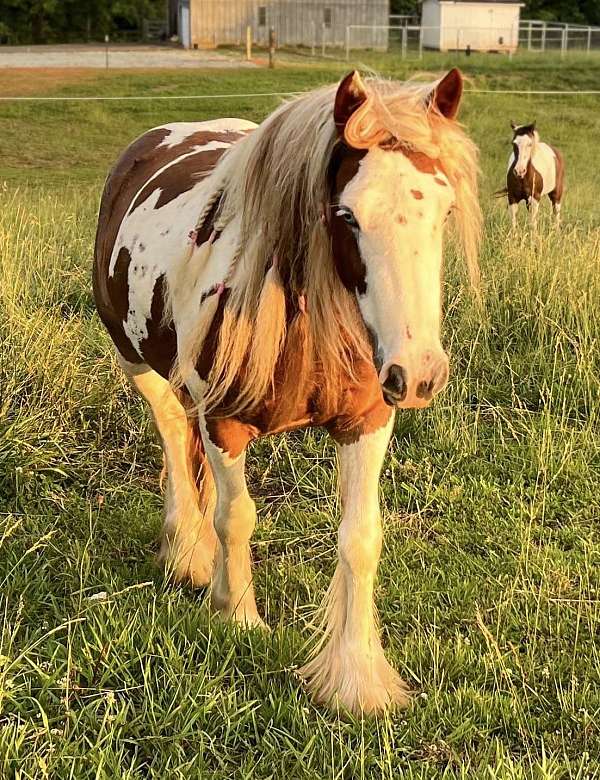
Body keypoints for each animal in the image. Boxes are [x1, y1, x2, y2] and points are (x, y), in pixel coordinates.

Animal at [91, 70, 480, 716]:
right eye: (347, 215)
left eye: (446, 211)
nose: (420, 373)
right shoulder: (222, 422)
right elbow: (237, 517)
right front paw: (239, 618)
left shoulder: (369, 421)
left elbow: (360, 537)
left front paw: (354, 677)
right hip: (137, 363)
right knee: (172, 434)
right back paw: (187, 552)